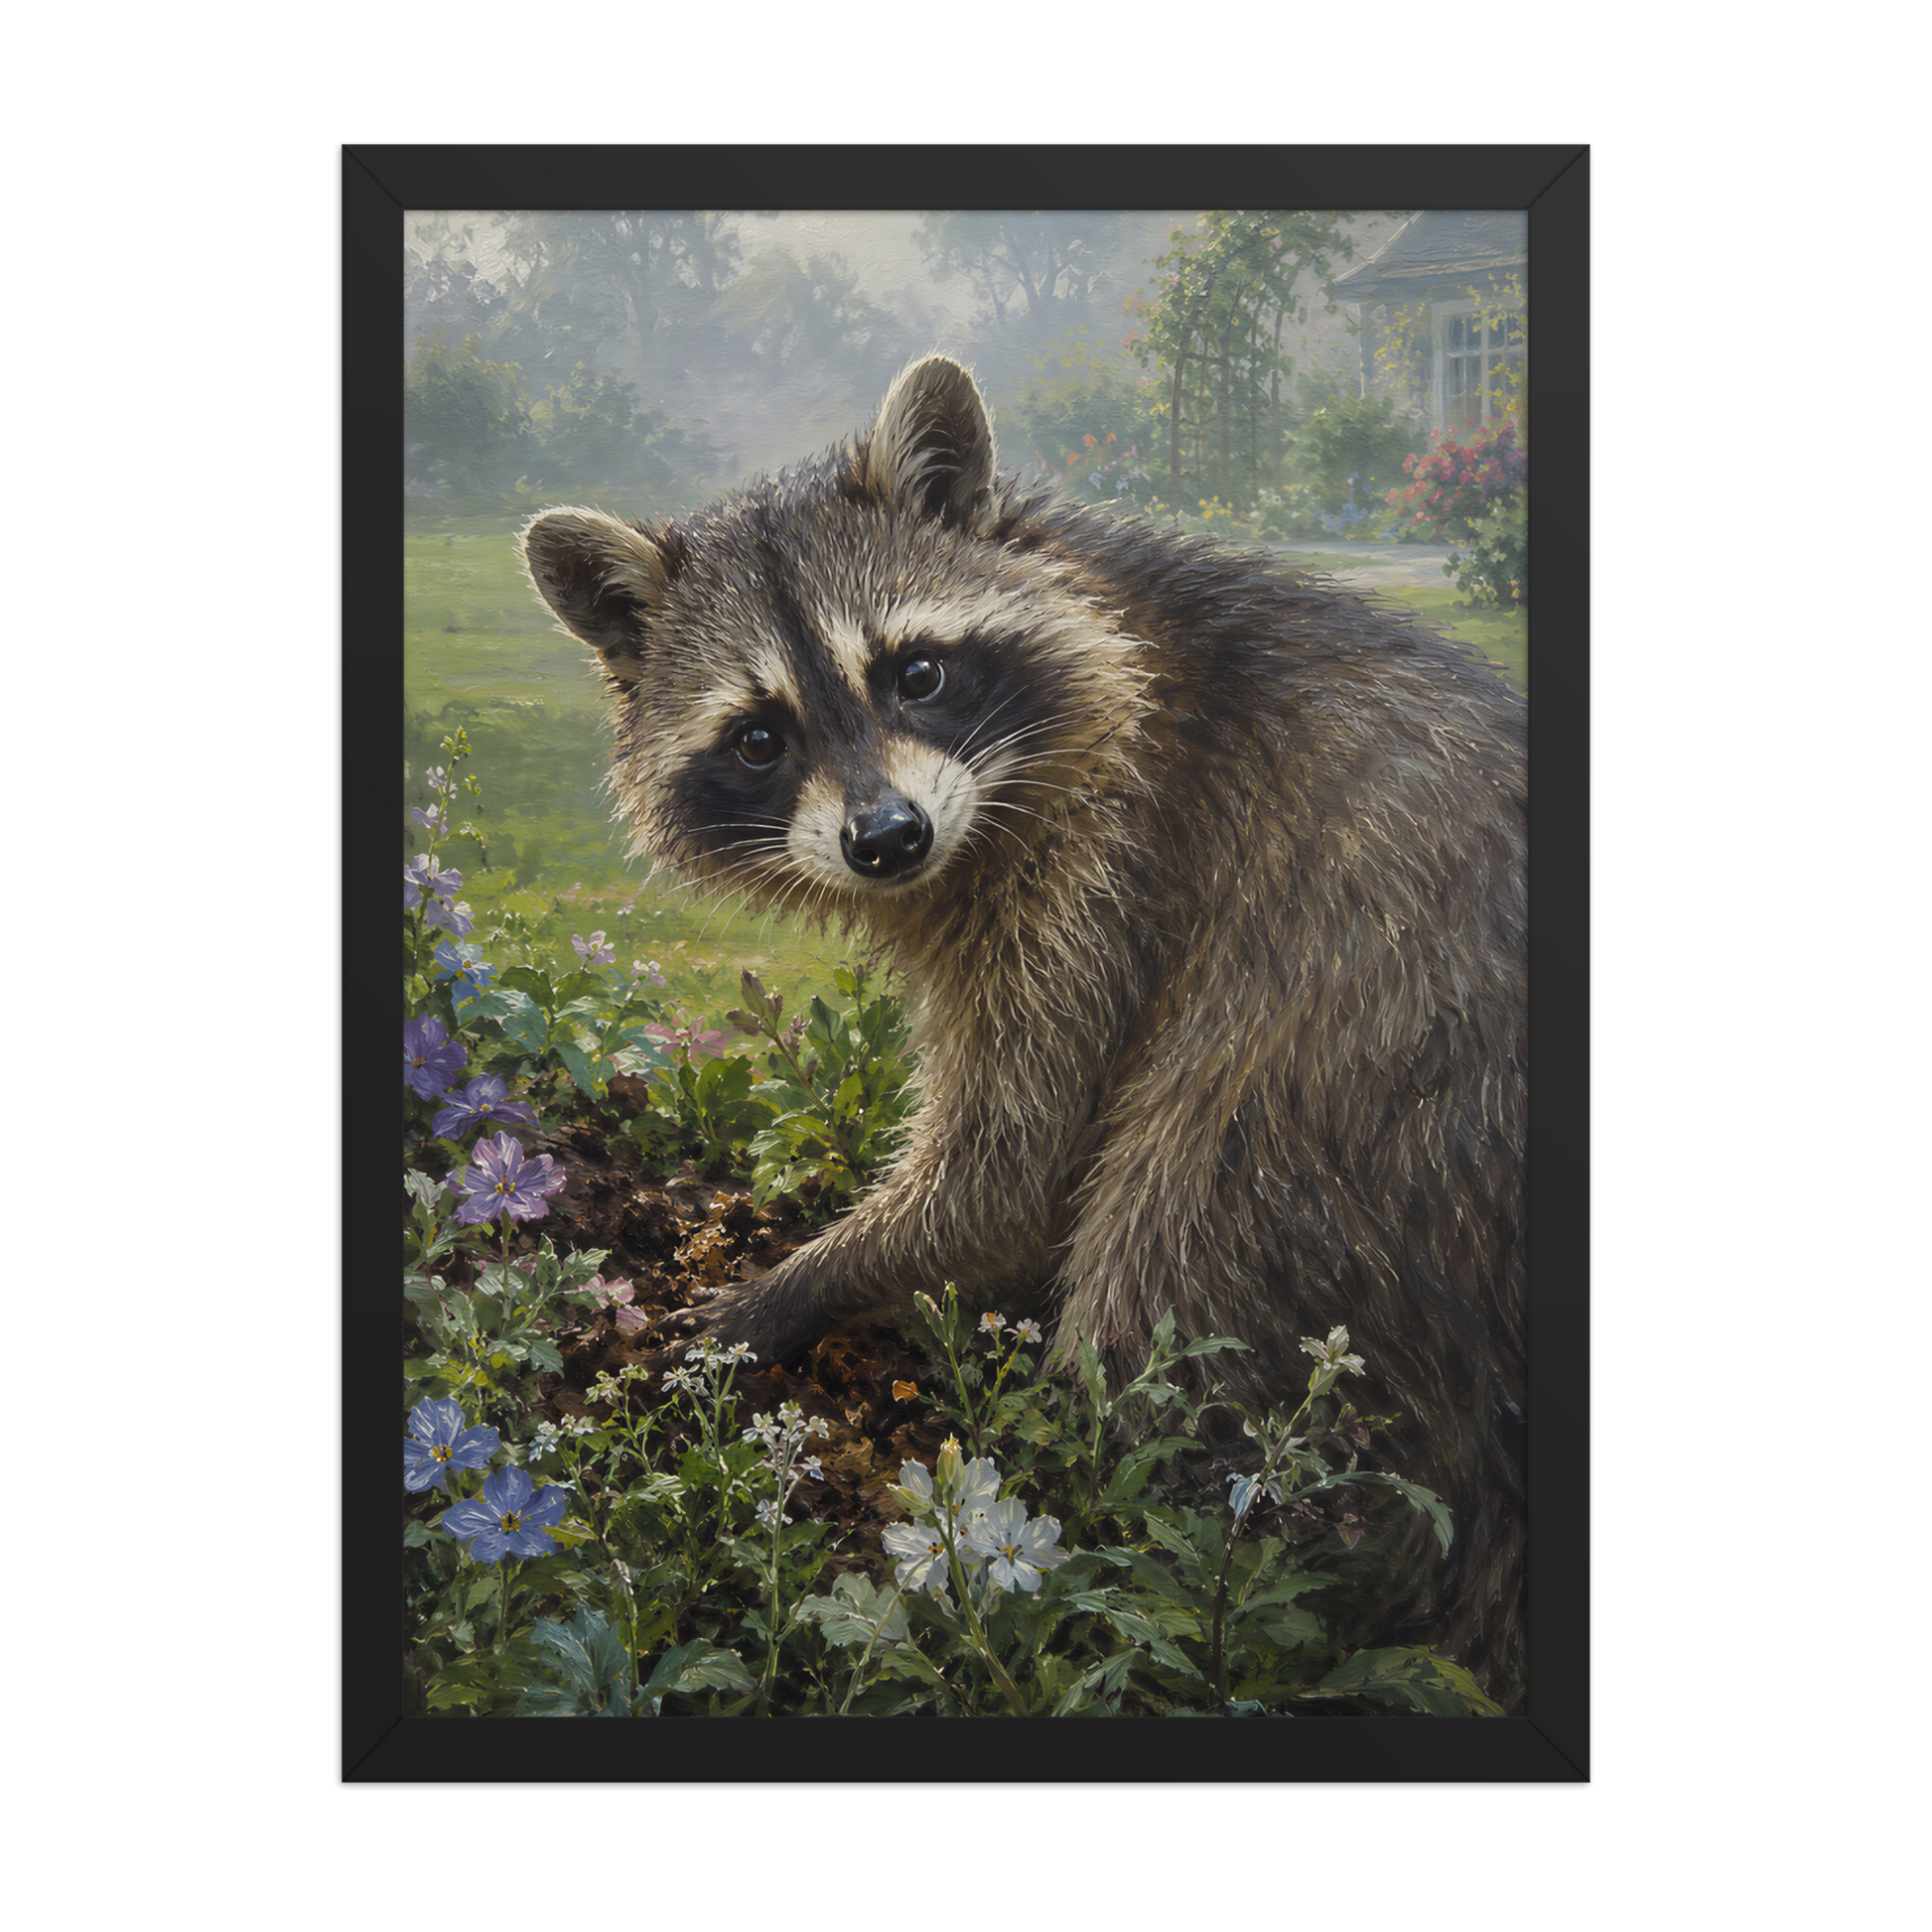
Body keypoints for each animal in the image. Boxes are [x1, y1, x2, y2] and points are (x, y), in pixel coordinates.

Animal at [520, 354, 1527, 1707]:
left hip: (1342, 1119)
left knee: (1167, 1262)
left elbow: (1010, 1168)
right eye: (758, 735)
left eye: (916, 672)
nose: (887, 838)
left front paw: (798, 1283)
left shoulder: (1113, 865)